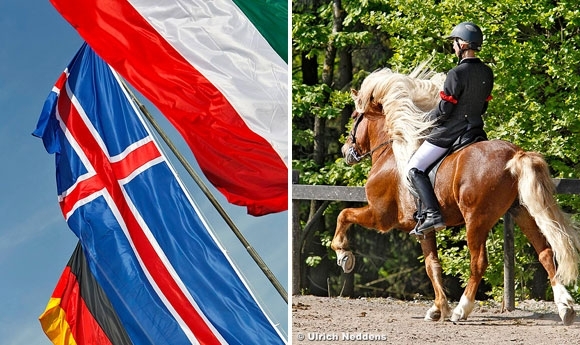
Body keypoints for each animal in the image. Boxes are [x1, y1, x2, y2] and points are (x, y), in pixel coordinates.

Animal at [330, 66, 580, 324]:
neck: (391, 151)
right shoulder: (423, 229)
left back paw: (462, 309)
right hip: (522, 212)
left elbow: (344, 214)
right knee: (546, 253)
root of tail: (515, 153)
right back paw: (565, 307)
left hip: (476, 220)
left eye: (353, 117)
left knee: (479, 262)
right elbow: (432, 265)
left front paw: (344, 255)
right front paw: (437, 308)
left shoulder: (380, 217)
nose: (345, 151)